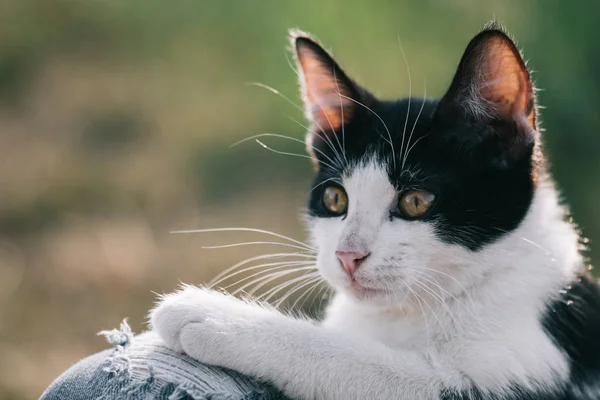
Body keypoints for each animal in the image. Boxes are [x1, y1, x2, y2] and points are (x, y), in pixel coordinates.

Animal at [149, 25, 600, 400]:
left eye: (416, 201)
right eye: (335, 199)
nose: (348, 256)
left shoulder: (532, 365)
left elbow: (368, 364)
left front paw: (215, 316)